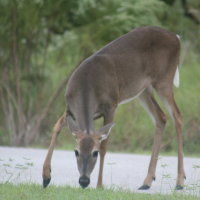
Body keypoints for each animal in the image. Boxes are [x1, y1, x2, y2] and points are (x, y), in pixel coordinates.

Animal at [42, 25, 186, 190]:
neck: (86, 85)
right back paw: (147, 181)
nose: (84, 180)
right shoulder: (70, 108)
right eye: (76, 151)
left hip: (164, 80)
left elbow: (105, 145)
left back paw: (180, 181)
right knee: (161, 117)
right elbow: (57, 126)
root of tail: (176, 37)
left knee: (177, 115)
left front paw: (99, 185)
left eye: (95, 153)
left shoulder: (111, 105)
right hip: (143, 90)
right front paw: (46, 177)